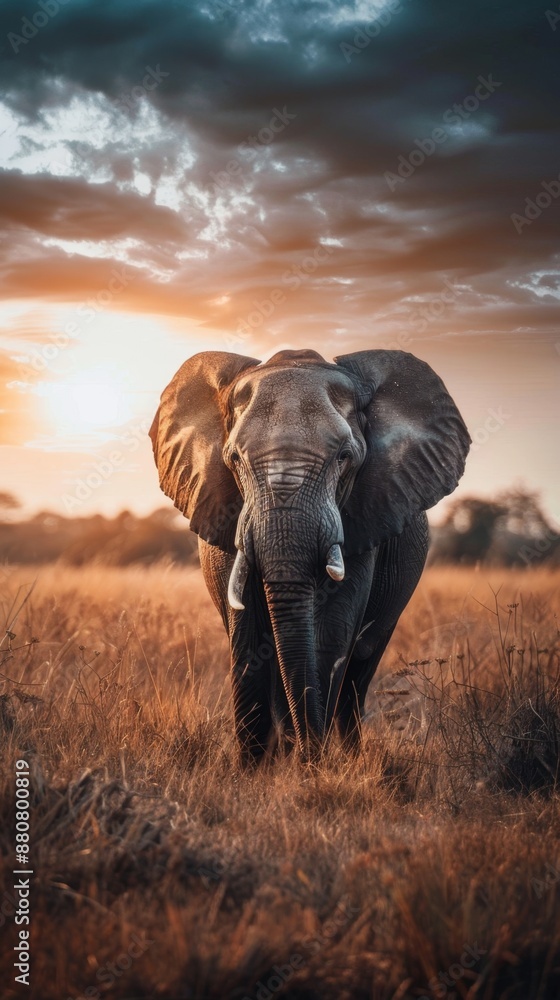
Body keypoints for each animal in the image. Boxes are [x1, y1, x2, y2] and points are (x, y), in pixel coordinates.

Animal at [149, 348, 470, 763]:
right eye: (234, 459)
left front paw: (308, 765)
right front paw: (256, 768)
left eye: (344, 457)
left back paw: (348, 755)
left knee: (360, 669)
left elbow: (332, 632)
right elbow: (249, 634)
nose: (306, 753)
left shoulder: (363, 516)